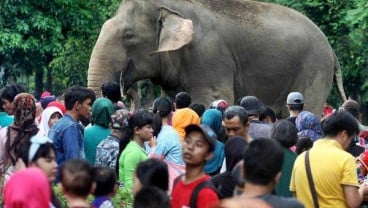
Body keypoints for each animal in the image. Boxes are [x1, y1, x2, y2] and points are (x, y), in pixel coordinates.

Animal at [87, 0, 346, 116]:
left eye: (128, 35)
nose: (125, 88)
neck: (171, 7)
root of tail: (332, 50)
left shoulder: (208, 54)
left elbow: (212, 97)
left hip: (314, 68)